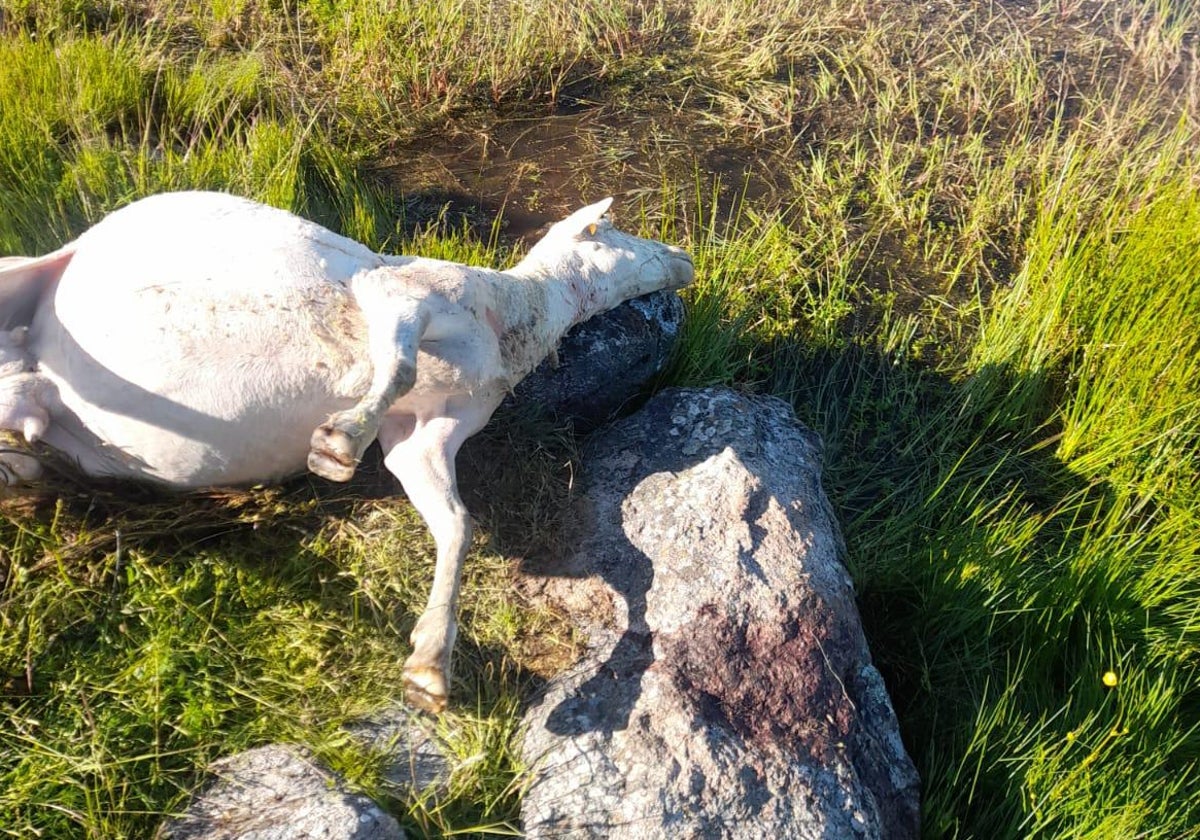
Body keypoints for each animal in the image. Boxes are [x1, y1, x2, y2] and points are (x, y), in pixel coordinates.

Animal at [0, 190, 696, 710]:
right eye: (618, 230)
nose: (687, 260)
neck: (516, 318)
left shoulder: (428, 432)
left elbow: (456, 524)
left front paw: (429, 664)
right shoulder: (405, 294)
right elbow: (400, 364)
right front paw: (338, 442)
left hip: (36, 417)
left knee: (24, 424)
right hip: (22, 273)